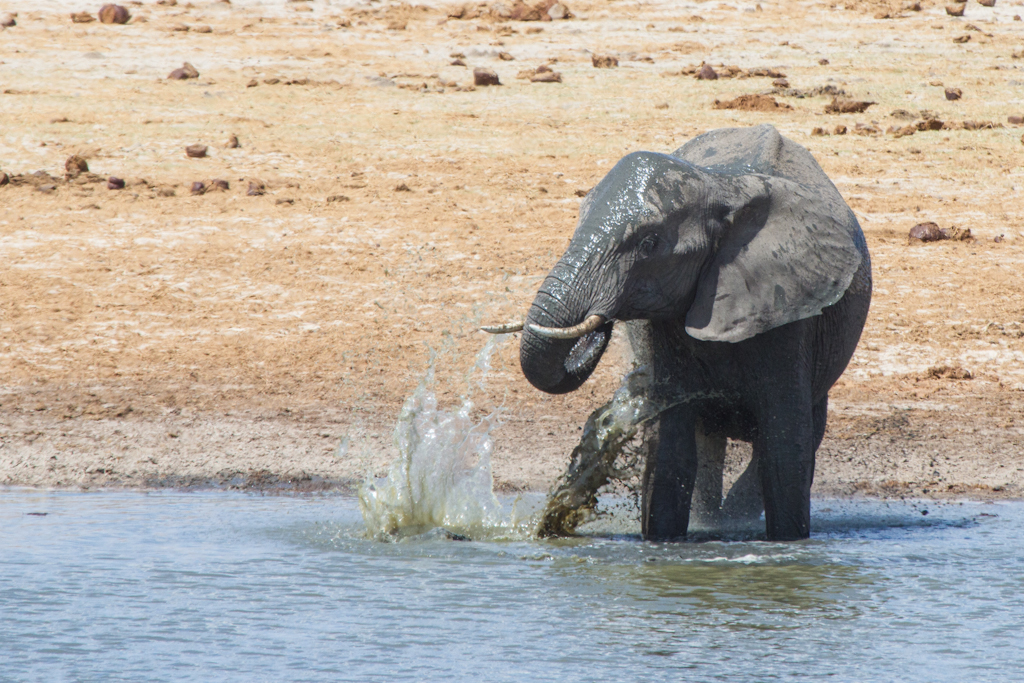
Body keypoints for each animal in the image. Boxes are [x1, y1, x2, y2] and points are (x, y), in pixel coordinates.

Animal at [483, 121, 868, 540]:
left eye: (649, 243)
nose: (599, 320)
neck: (721, 187)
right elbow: (671, 453)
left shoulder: (790, 313)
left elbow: (785, 451)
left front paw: (788, 541)